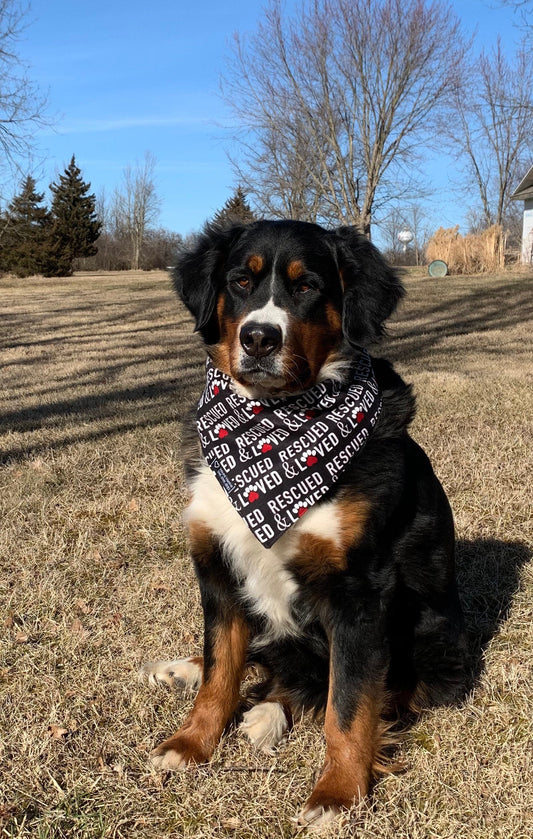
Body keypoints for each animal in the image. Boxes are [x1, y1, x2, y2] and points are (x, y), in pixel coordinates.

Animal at [142, 220, 466, 832]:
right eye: (240, 282)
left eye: (308, 286)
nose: (258, 338)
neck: (272, 424)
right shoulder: (215, 566)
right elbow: (221, 668)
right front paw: (192, 743)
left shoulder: (359, 592)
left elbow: (349, 704)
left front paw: (338, 793)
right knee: (260, 657)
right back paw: (185, 671)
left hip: (432, 641)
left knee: (335, 683)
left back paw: (269, 712)